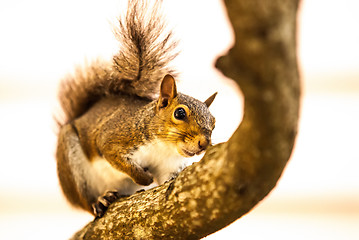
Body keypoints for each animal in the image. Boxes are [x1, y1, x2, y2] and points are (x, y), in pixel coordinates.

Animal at [55, 0, 217, 218]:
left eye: (214, 122)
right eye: (180, 113)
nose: (204, 143)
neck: (163, 148)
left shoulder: (168, 165)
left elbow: (168, 178)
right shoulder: (115, 138)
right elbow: (117, 158)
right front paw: (145, 178)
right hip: (71, 163)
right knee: (85, 200)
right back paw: (99, 200)